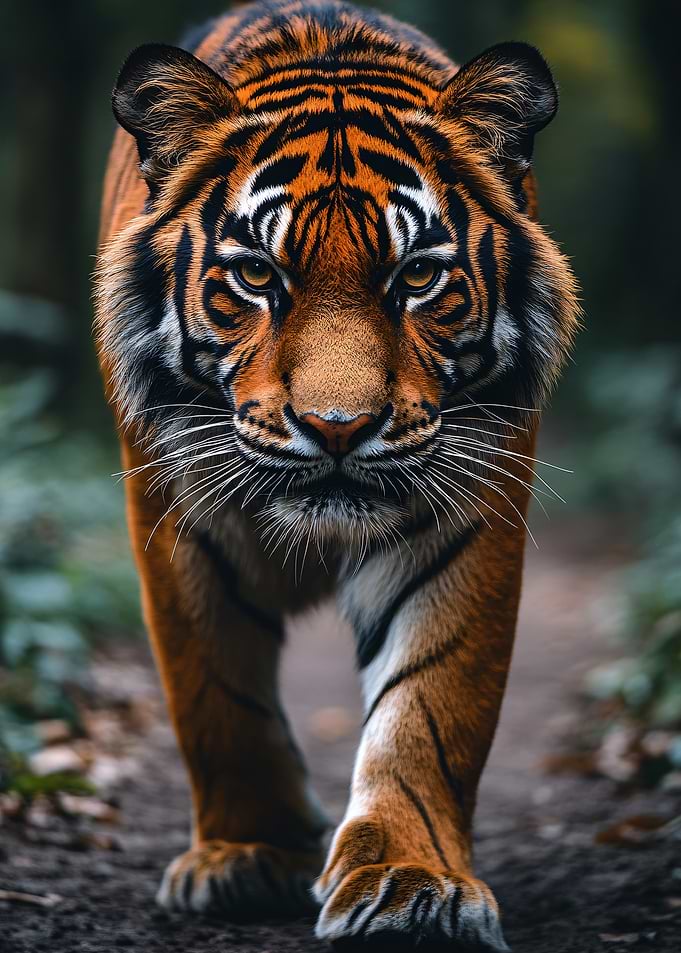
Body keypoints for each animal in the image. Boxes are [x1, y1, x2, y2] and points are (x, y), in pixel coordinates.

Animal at [95, 0, 579, 948]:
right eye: (256, 274)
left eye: (418, 276)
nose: (337, 428)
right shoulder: (173, 514)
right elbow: (215, 693)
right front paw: (246, 853)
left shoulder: (469, 510)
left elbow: (429, 703)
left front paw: (411, 881)